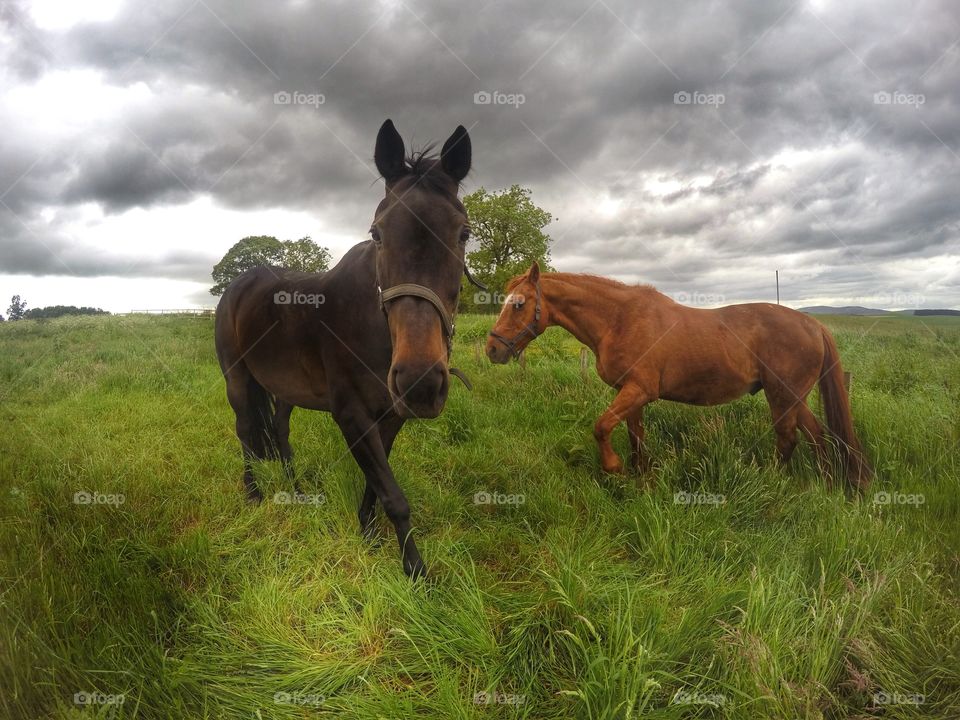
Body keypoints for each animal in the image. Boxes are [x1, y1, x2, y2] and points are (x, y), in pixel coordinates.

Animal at [215, 119, 476, 580]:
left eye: (463, 233)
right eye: (377, 233)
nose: (421, 381)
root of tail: (238, 286)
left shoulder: (391, 414)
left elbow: (378, 482)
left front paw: (367, 532)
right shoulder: (351, 414)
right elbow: (393, 493)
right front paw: (416, 572)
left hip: (285, 388)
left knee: (279, 431)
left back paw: (297, 490)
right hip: (237, 377)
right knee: (246, 429)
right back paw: (255, 495)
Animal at [488, 262, 872, 492]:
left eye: (519, 304)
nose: (492, 349)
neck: (620, 320)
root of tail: (813, 324)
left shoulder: (638, 391)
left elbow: (601, 427)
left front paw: (614, 468)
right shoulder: (631, 394)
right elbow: (635, 436)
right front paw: (640, 476)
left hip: (782, 395)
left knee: (789, 438)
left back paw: (773, 482)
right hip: (793, 396)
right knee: (818, 435)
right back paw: (827, 484)